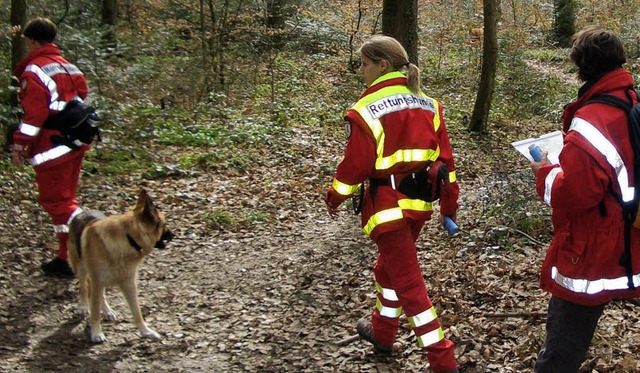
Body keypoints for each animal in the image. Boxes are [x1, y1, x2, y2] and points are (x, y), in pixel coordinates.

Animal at [67, 189, 175, 342]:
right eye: (165, 225)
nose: (174, 235)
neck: (128, 237)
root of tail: (82, 213)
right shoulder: (98, 280)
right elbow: (95, 312)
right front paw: (96, 333)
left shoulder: (129, 284)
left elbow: (137, 312)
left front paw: (146, 331)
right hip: (81, 269)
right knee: (84, 287)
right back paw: (83, 306)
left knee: (100, 295)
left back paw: (107, 311)